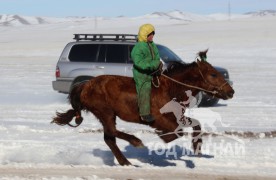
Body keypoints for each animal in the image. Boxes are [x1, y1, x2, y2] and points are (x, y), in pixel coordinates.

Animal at [51, 49, 233, 166]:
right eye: (213, 74)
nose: (231, 91)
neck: (171, 89)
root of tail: (85, 86)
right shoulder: (160, 119)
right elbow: (177, 132)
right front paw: (165, 137)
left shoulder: (178, 116)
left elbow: (196, 124)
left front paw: (197, 147)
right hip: (105, 112)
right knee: (111, 132)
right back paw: (135, 142)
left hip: (108, 114)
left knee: (109, 138)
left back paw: (126, 162)